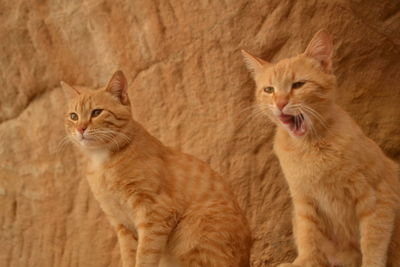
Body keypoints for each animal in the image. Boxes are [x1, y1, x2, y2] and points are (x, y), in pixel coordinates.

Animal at [61, 70, 252, 266]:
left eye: (97, 112)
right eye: (74, 116)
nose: (81, 128)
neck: (102, 161)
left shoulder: (155, 212)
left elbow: (145, 255)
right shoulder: (122, 225)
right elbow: (129, 257)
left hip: (193, 231)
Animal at [241, 29, 400, 267]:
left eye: (298, 85)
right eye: (269, 90)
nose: (280, 103)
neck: (310, 148)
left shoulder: (377, 197)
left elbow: (373, 241)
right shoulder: (304, 203)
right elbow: (308, 237)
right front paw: (304, 261)